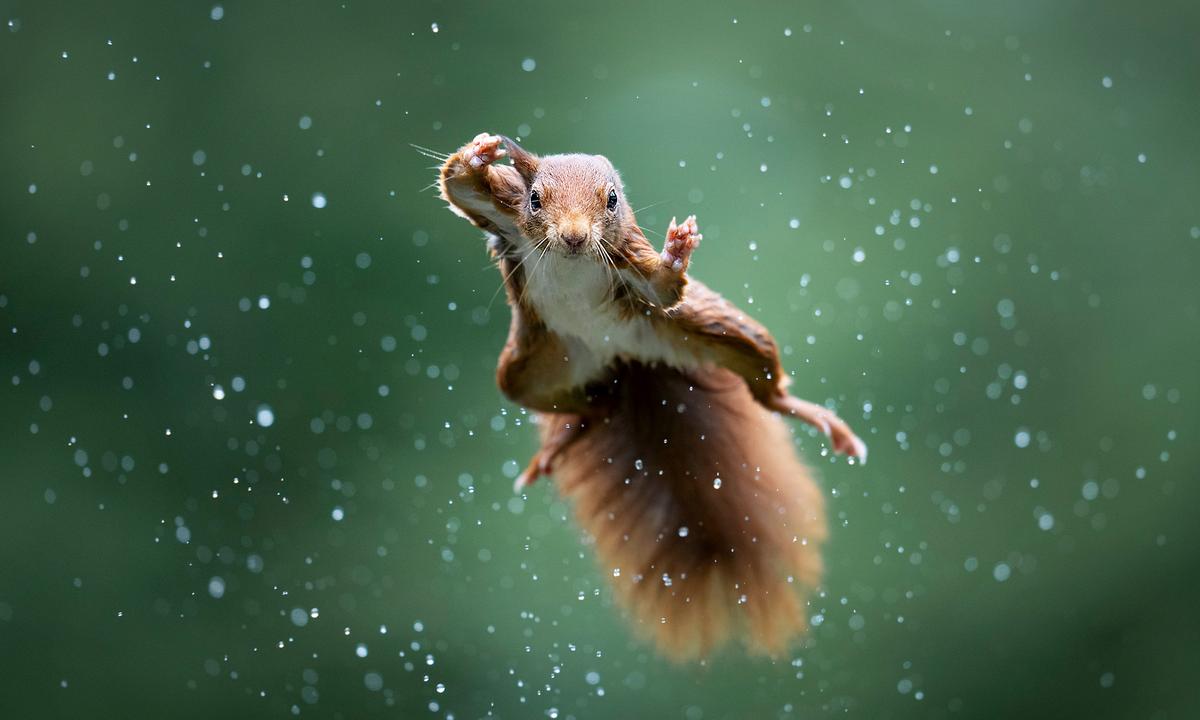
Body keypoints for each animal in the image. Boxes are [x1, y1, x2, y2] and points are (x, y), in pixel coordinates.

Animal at [436, 132, 866, 660]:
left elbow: (663, 287)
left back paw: (820, 419)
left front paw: (677, 250)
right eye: (535, 199)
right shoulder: (505, 214)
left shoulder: (628, 260)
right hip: (529, 371)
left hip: (717, 331)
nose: (574, 237)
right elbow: (459, 187)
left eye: (612, 200)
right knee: (591, 406)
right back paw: (560, 442)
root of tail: (624, 360)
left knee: (765, 388)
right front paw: (480, 152)